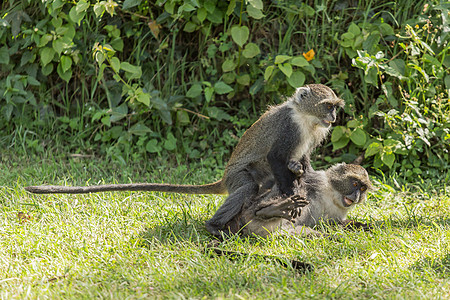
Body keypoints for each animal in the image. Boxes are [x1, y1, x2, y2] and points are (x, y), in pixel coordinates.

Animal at [24, 85, 344, 239]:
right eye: (327, 105)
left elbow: (301, 161)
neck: (306, 118)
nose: (333, 117)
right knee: (246, 187)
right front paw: (291, 196)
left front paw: (300, 178)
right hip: (237, 176)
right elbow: (276, 157)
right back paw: (214, 226)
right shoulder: (289, 127)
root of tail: (223, 178)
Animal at [223, 163, 374, 238]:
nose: (356, 196)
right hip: (249, 211)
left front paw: (368, 226)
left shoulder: (337, 214)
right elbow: (299, 181)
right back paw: (268, 210)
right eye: (354, 183)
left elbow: (335, 223)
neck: (333, 195)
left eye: (363, 188)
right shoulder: (318, 179)